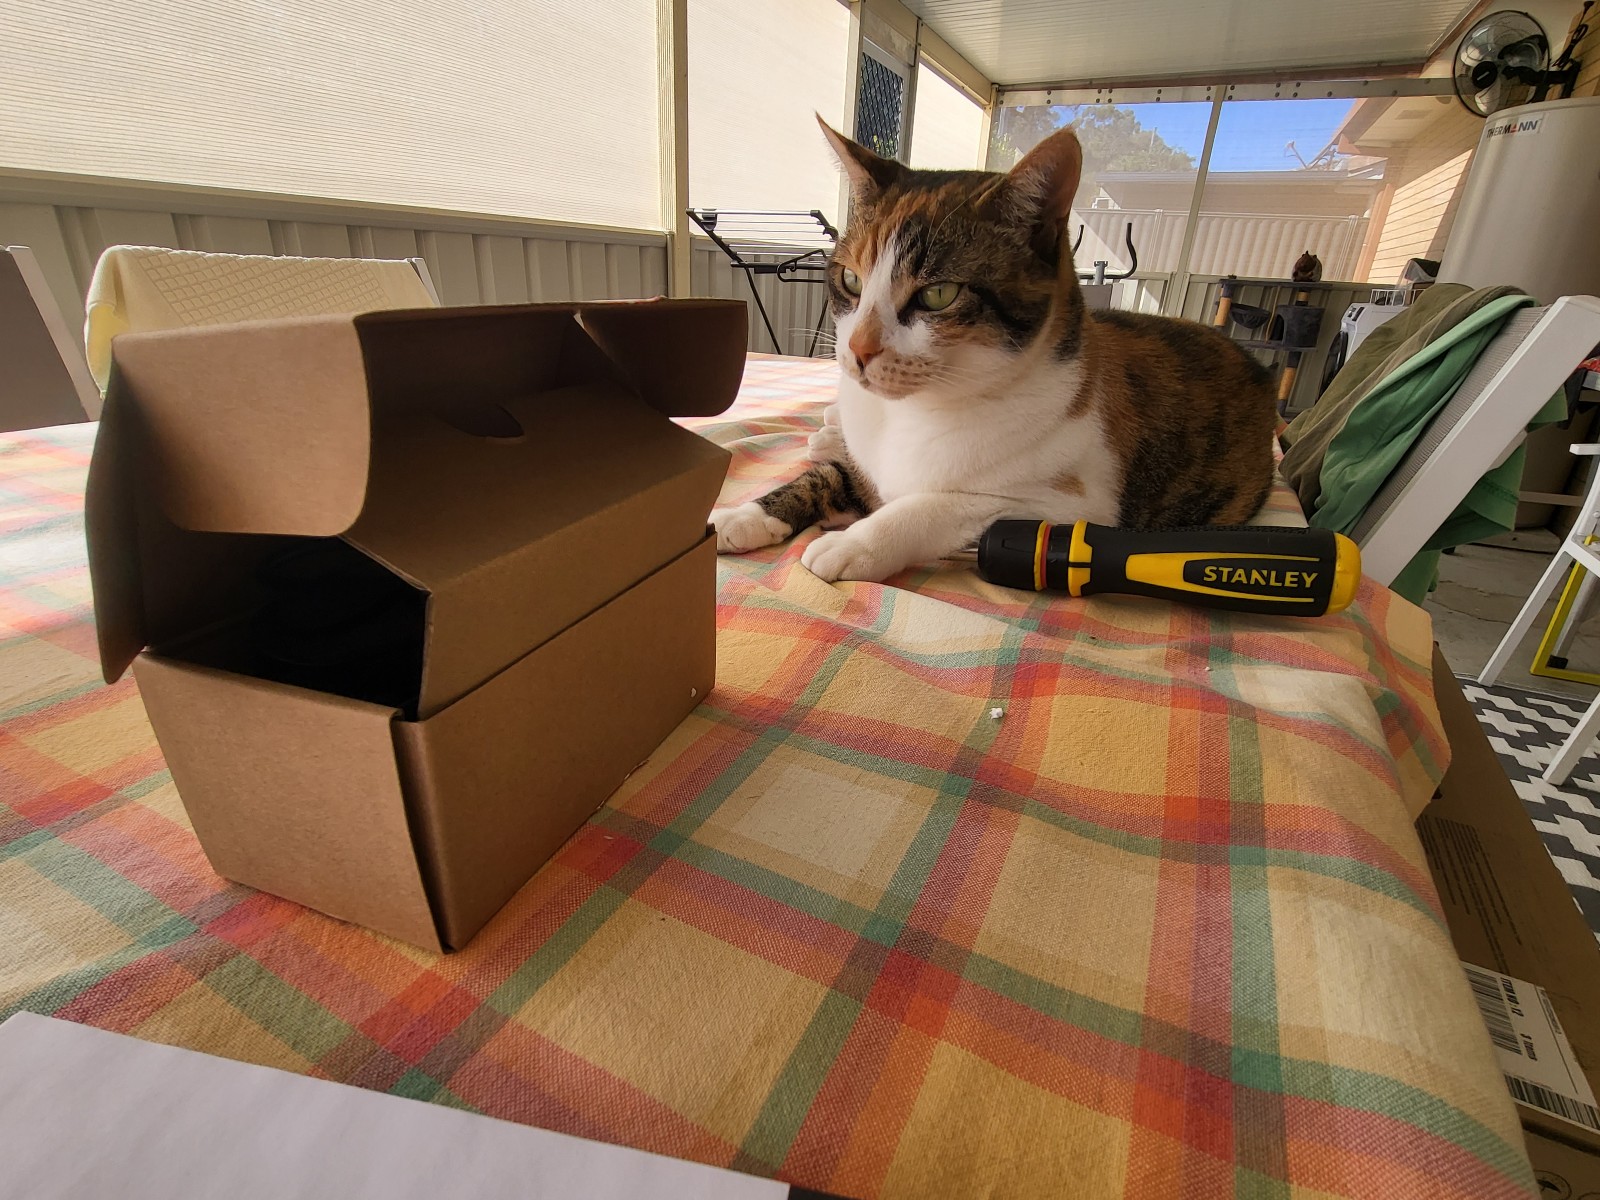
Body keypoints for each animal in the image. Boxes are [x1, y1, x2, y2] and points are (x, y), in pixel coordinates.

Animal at [711, 118, 1278, 584]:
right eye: (850, 279)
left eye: (938, 294)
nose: (857, 350)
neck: (915, 413)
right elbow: (828, 475)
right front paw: (745, 515)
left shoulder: (1076, 509)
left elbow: (938, 505)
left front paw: (854, 543)